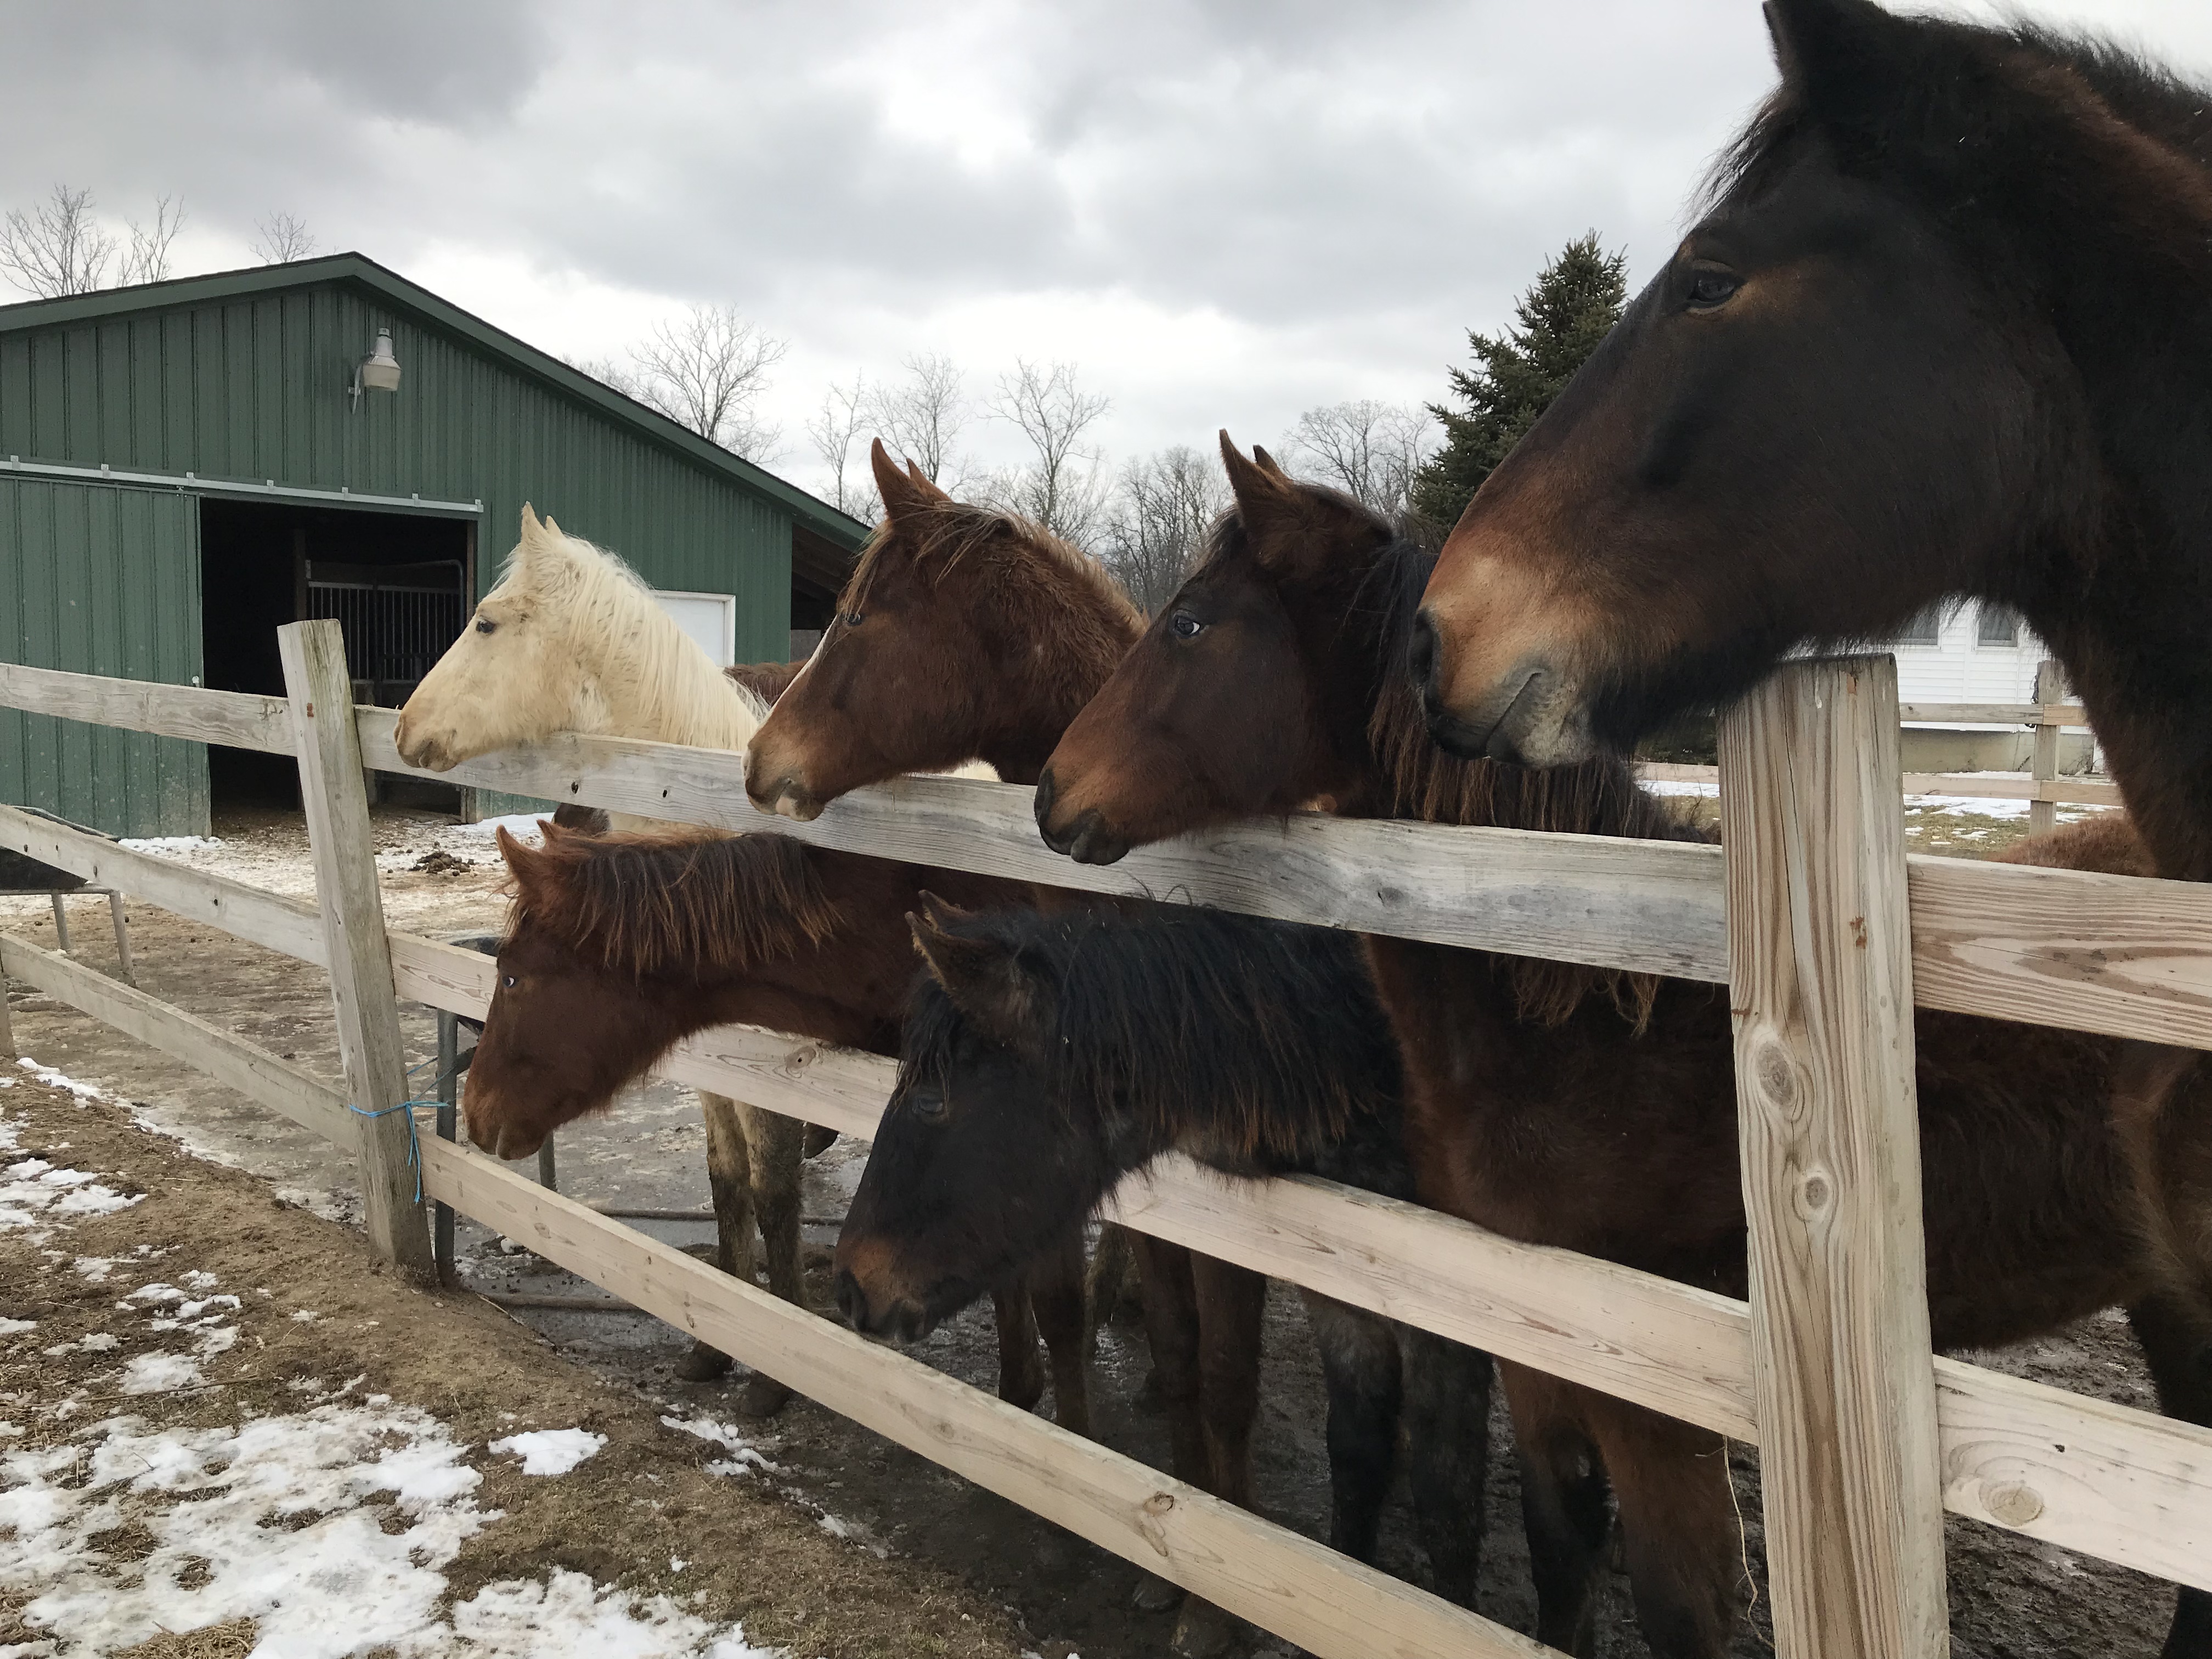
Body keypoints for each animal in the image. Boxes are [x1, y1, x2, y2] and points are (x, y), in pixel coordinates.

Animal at [838, 896, 1493, 1621]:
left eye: (932, 1101)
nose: (850, 1284)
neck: (1368, 1053)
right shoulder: (1335, 1286)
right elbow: (1349, 1446)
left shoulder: (1447, 1310)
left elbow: (1448, 1494)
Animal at [1035, 442, 2212, 1658]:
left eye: (1188, 623)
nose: (1048, 793)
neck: (1594, 1019)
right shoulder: (1531, 1333)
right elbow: (1561, 1545)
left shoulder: (1656, 1388)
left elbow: (1674, 1603)